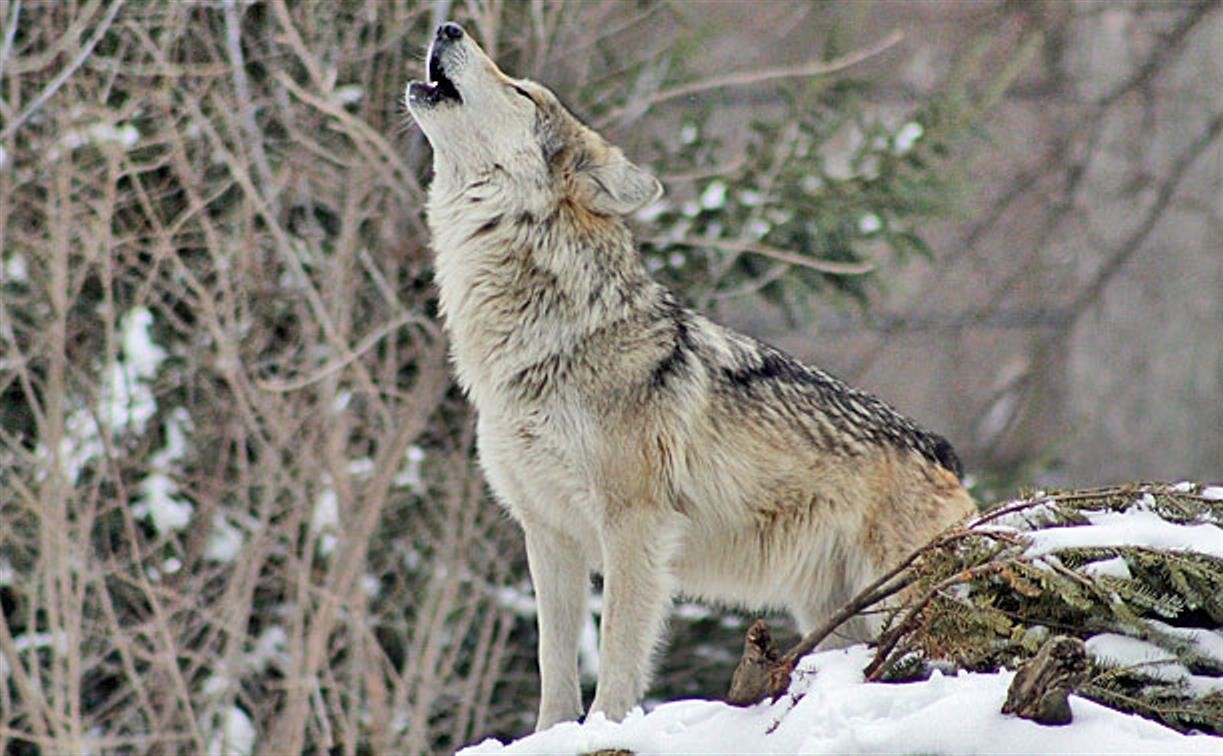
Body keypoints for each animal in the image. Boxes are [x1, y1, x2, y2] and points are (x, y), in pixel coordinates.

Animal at [406, 23, 978, 729]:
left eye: (521, 90)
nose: (448, 26)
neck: (544, 340)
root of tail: (945, 453)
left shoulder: (634, 528)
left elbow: (617, 656)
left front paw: (606, 730)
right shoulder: (548, 533)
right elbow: (554, 667)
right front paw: (553, 735)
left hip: (896, 599)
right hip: (834, 616)